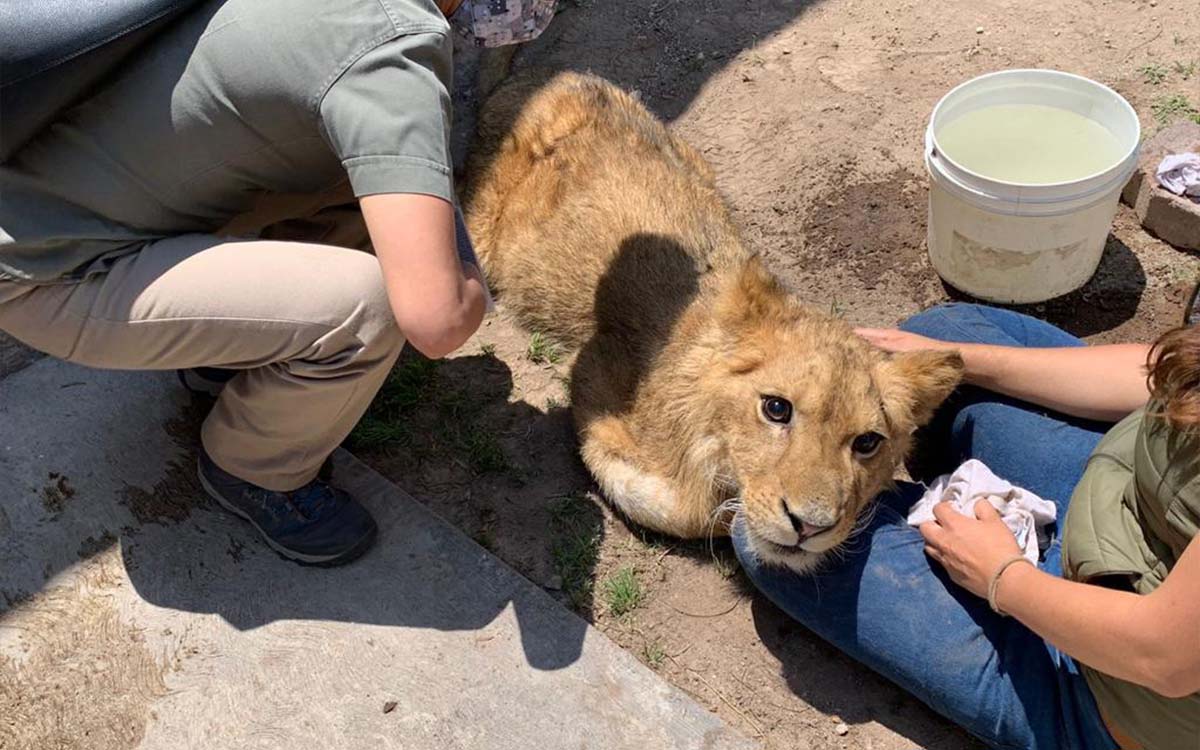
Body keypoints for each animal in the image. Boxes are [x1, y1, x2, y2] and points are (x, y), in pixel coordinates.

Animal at [461, 72, 963, 573]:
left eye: (867, 443)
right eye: (776, 408)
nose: (810, 525)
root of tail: (561, 78)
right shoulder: (594, 379)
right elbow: (677, 506)